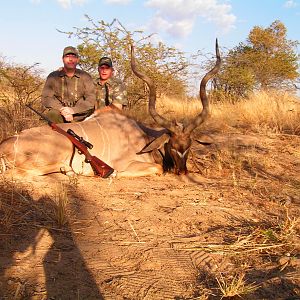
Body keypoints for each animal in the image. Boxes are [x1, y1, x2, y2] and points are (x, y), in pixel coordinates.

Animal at [0, 41, 220, 179]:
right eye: (172, 146)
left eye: (189, 146)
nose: (182, 172)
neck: (143, 137)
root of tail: (4, 145)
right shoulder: (129, 164)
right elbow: (157, 168)